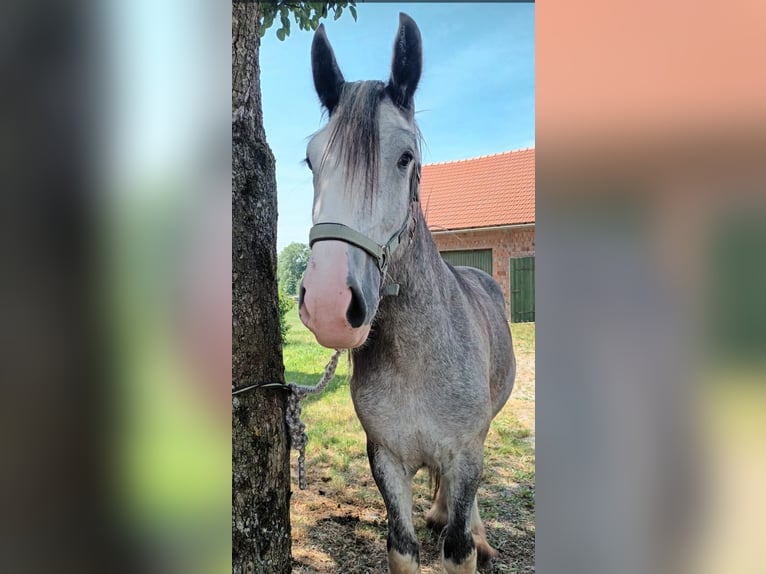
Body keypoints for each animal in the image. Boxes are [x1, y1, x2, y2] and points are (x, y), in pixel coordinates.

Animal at [298, 13, 516, 574]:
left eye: (405, 157)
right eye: (310, 161)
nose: (329, 306)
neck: (417, 359)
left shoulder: (464, 454)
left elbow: (458, 549)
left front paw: (470, 537)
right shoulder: (386, 459)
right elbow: (403, 547)